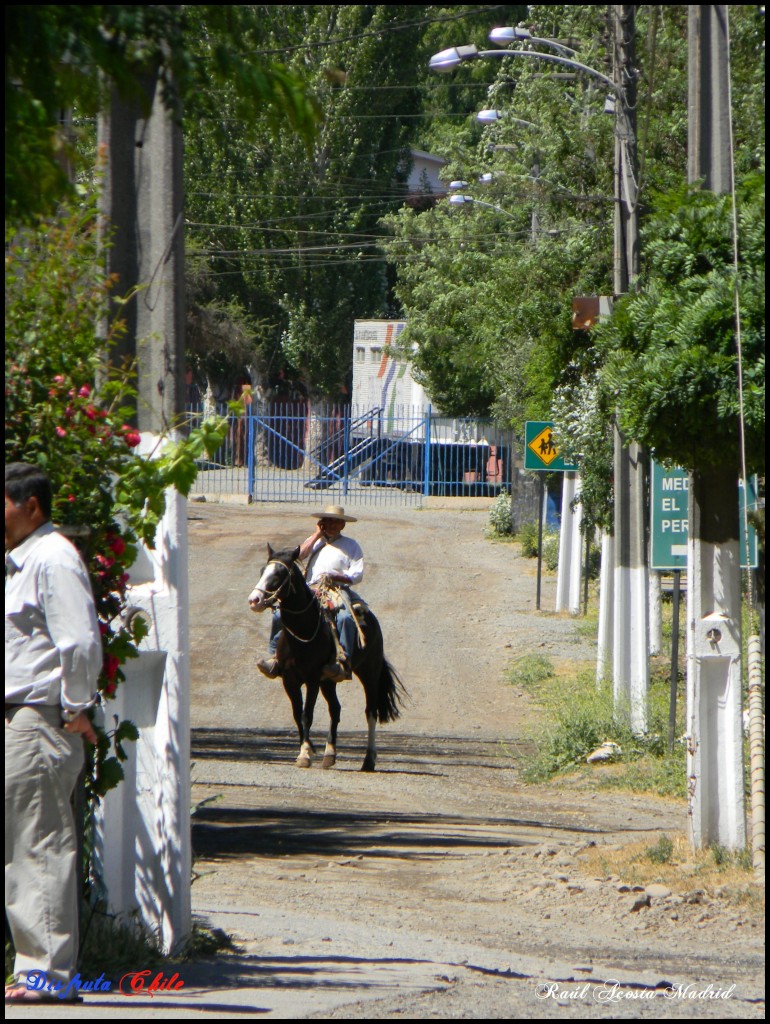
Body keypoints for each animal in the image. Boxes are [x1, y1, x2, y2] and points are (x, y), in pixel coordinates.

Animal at [249, 544, 405, 770]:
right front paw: (307, 749)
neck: (303, 633)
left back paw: (368, 760)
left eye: (278, 574)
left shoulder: (313, 679)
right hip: (328, 681)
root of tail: (372, 621)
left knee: (370, 712)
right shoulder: (289, 679)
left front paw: (305, 755)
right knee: (335, 709)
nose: (254, 600)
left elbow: (307, 715)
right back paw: (329, 754)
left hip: (369, 673)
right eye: (262, 571)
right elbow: (297, 715)